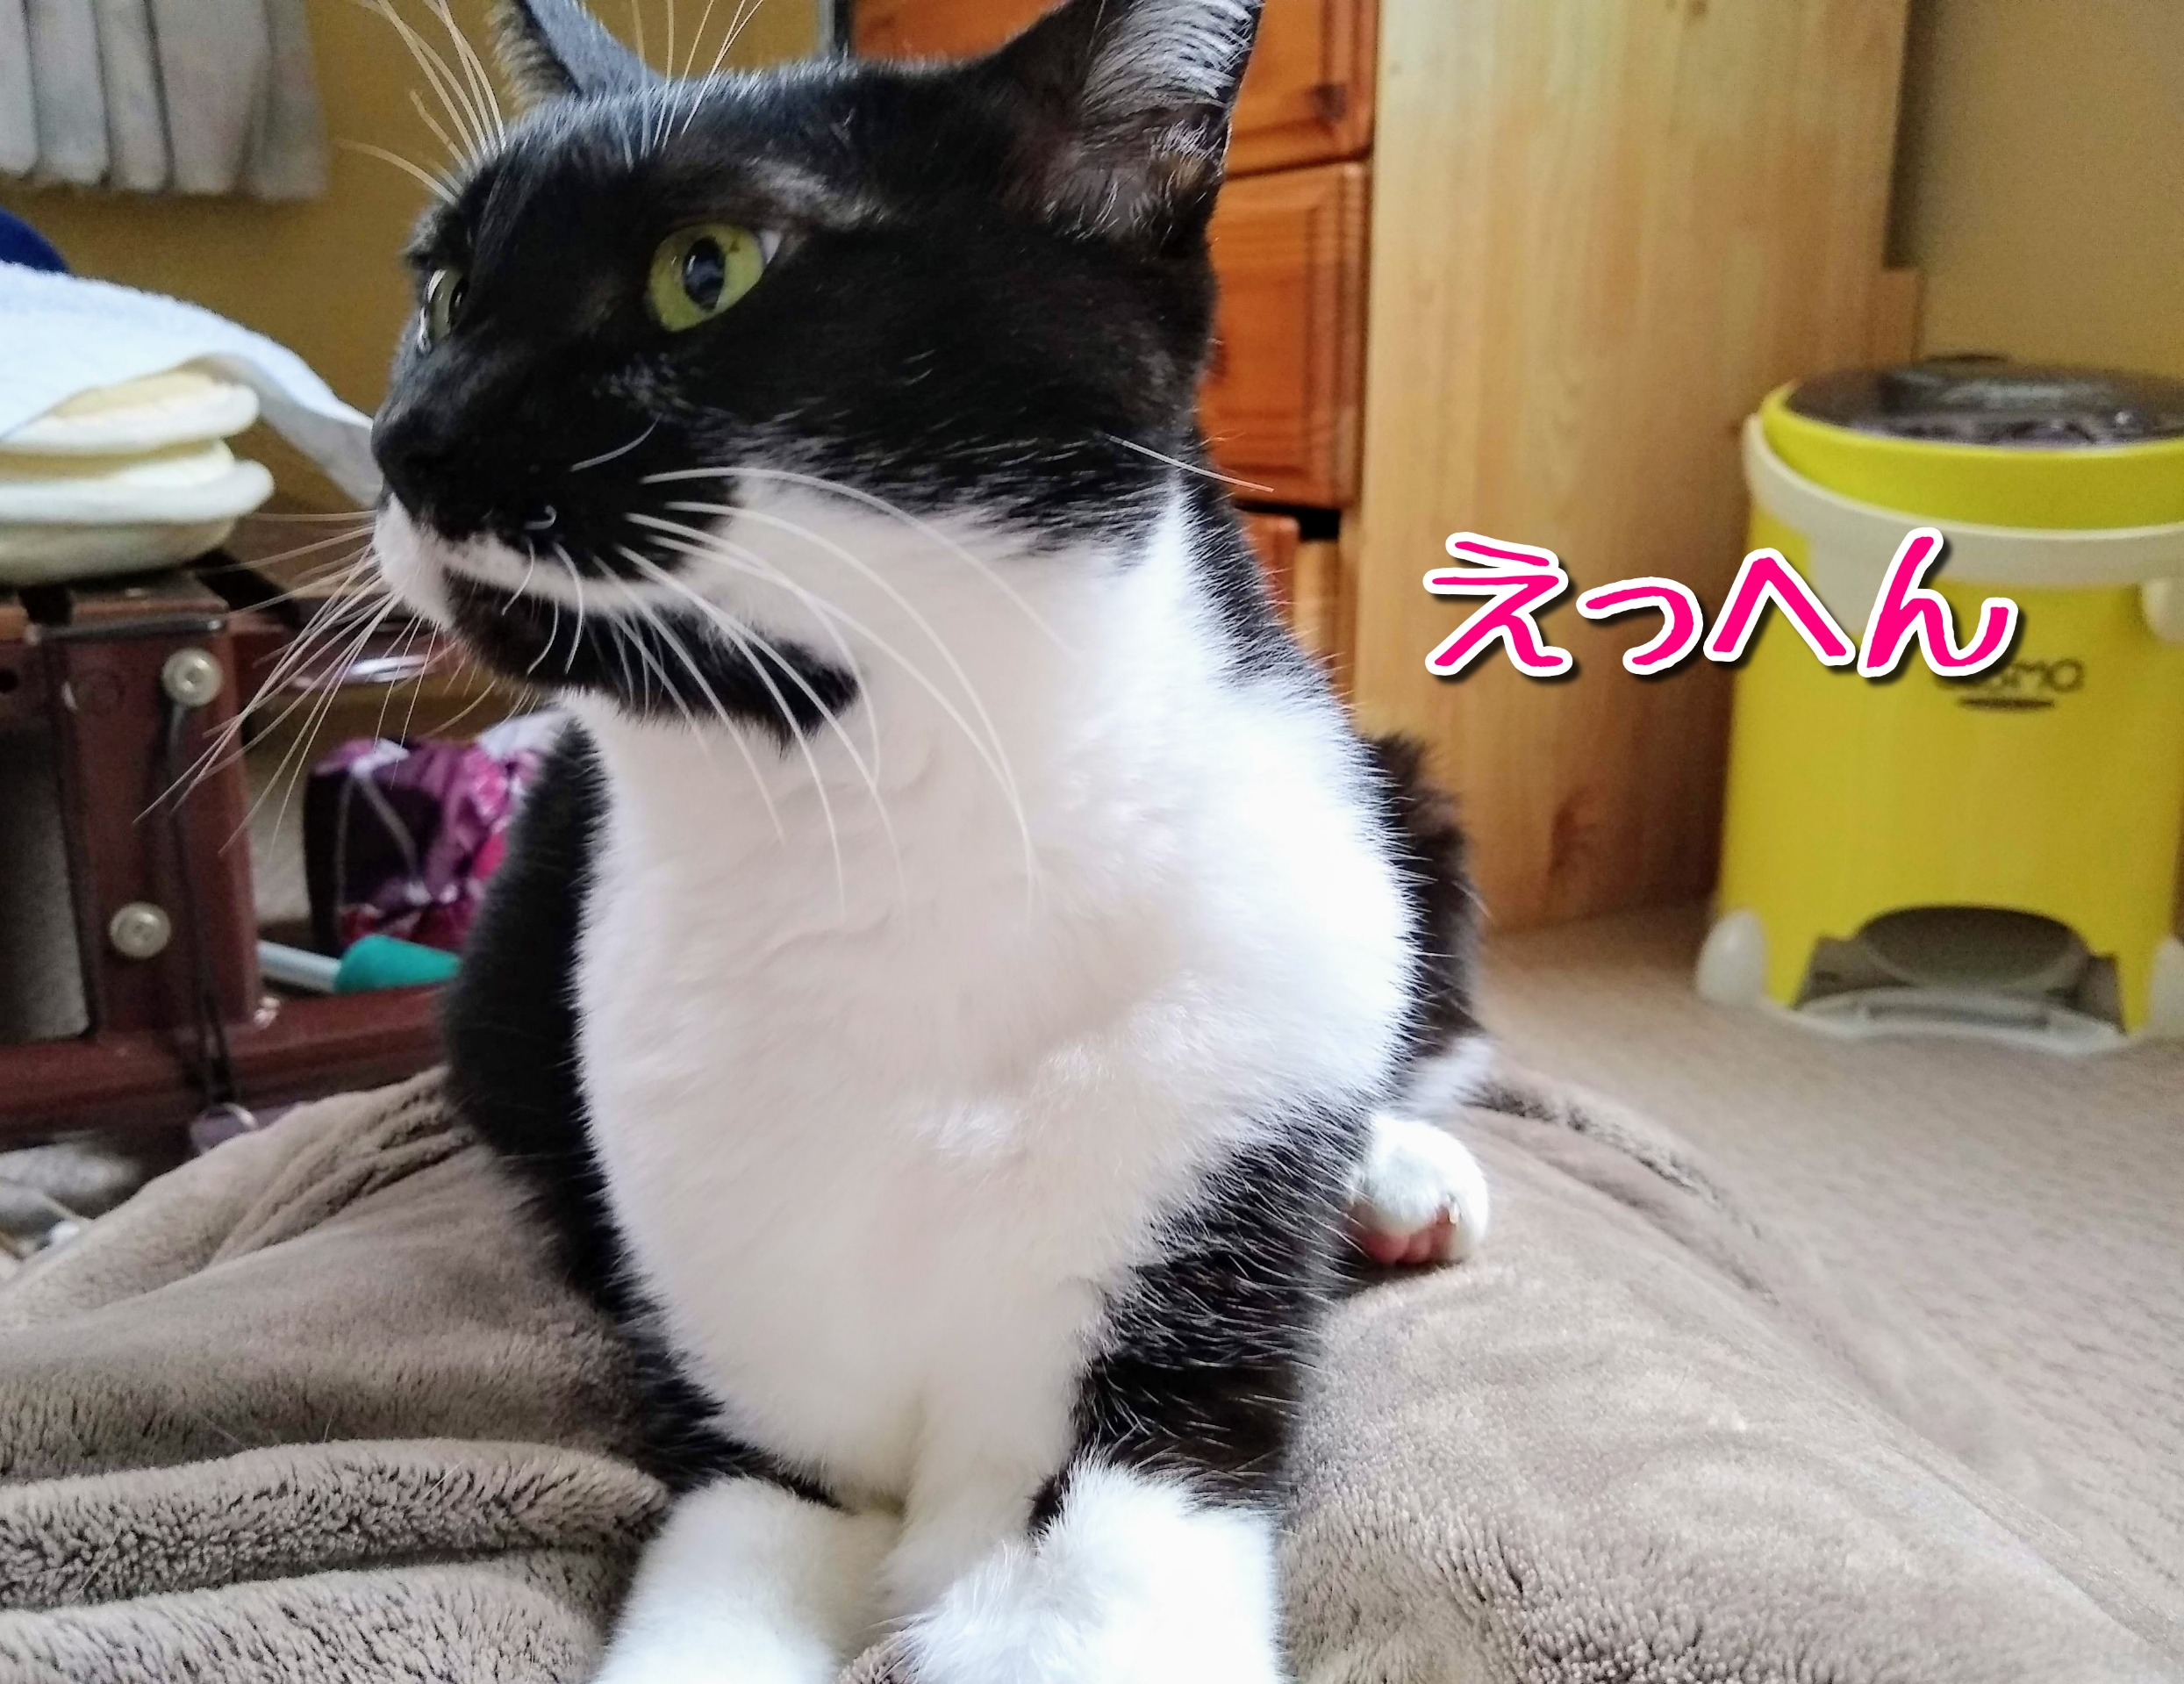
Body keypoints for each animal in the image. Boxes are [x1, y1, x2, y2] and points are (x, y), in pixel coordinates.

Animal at [367, 0, 1492, 1676]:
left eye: (705, 267)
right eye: (442, 293)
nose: (404, 436)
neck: (883, 847)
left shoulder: (1182, 1234)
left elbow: (1100, 1584)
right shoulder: (750, 1395)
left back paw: (1393, 1167)